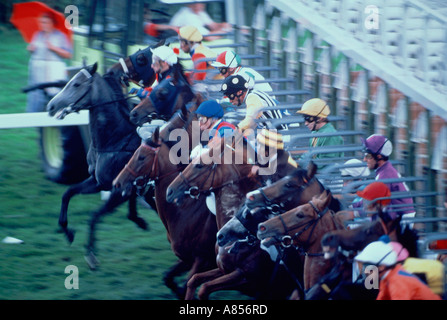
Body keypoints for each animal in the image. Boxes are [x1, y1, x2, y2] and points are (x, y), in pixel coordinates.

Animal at [113, 104, 218, 298]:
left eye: (141, 157)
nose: (117, 183)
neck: (185, 209)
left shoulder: (203, 259)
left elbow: (188, 283)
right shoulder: (187, 258)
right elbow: (167, 278)